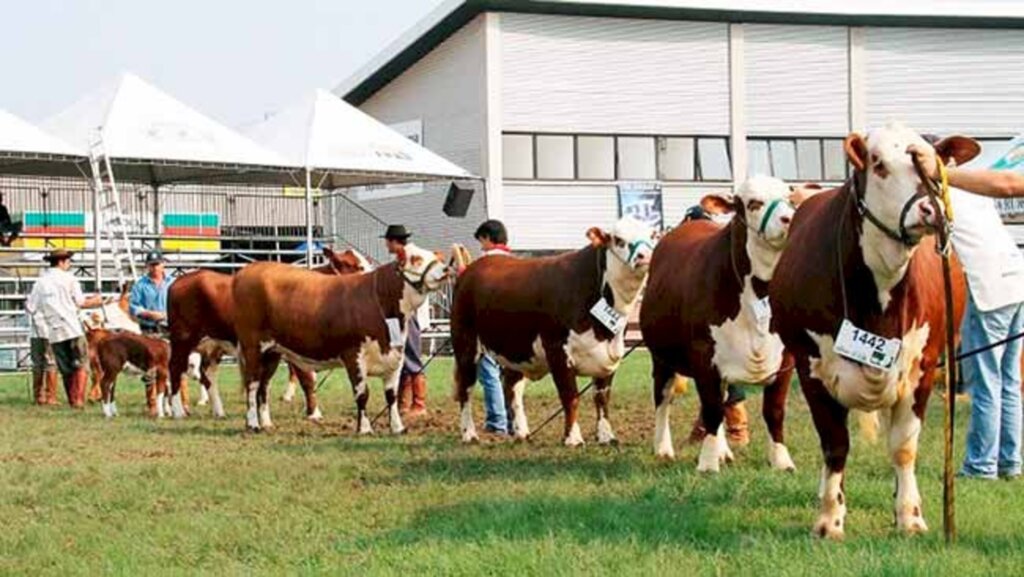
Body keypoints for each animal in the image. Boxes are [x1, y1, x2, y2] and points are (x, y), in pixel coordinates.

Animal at [233, 243, 448, 434]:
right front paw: (364, 429)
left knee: (263, 387)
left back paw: (267, 424)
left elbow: (391, 396)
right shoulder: (353, 355)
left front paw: (398, 428)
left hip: (272, 353)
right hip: (252, 348)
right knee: (252, 385)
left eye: (434, 256)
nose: (446, 269)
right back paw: (253, 424)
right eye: (416, 259)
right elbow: (362, 394)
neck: (379, 299)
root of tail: (247, 270)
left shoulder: (394, 355)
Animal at [454, 217, 655, 446]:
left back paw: (522, 432)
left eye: (653, 235)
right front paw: (573, 438)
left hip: (517, 349)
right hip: (465, 344)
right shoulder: (557, 350)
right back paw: (469, 434)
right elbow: (570, 396)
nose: (645, 256)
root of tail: (473, 268)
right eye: (618, 239)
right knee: (466, 389)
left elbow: (602, 397)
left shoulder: (609, 356)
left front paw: (606, 436)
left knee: (511, 387)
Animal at [638, 177, 798, 473]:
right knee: (663, 398)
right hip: (662, 356)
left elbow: (774, 411)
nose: (789, 218)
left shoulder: (787, 356)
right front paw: (708, 463)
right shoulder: (703, 352)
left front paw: (782, 460)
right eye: (753, 203)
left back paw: (724, 451)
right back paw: (663, 448)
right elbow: (711, 408)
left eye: (790, 199)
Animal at [770, 122, 974, 541]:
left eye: (933, 164)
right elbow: (835, 445)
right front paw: (830, 519)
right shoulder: (810, 366)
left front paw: (910, 516)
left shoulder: (923, 368)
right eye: (878, 163)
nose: (930, 209)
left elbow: (904, 448)